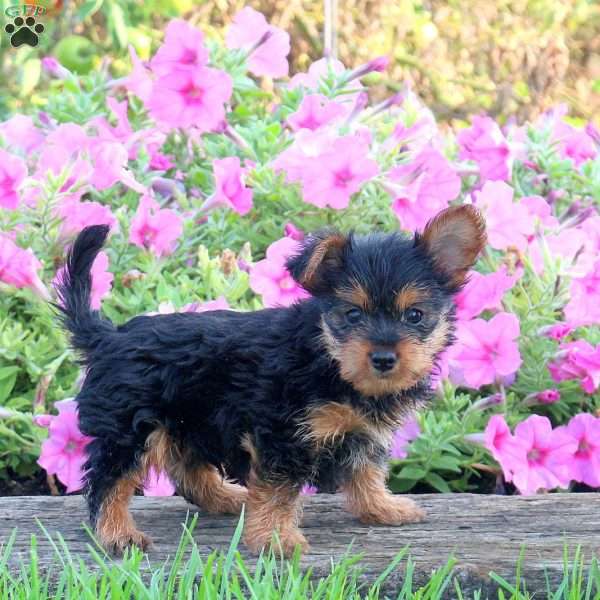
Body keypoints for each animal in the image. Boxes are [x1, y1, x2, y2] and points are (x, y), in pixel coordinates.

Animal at [55, 204, 488, 556]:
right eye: (352, 315)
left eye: (415, 316)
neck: (328, 357)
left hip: (191, 418)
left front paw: (381, 507)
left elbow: (366, 472)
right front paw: (276, 539)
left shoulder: (362, 433)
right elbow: (280, 490)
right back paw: (117, 534)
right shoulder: (284, 433)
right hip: (130, 425)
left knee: (189, 469)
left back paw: (228, 498)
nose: (383, 358)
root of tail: (109, 336)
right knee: (108, 480)